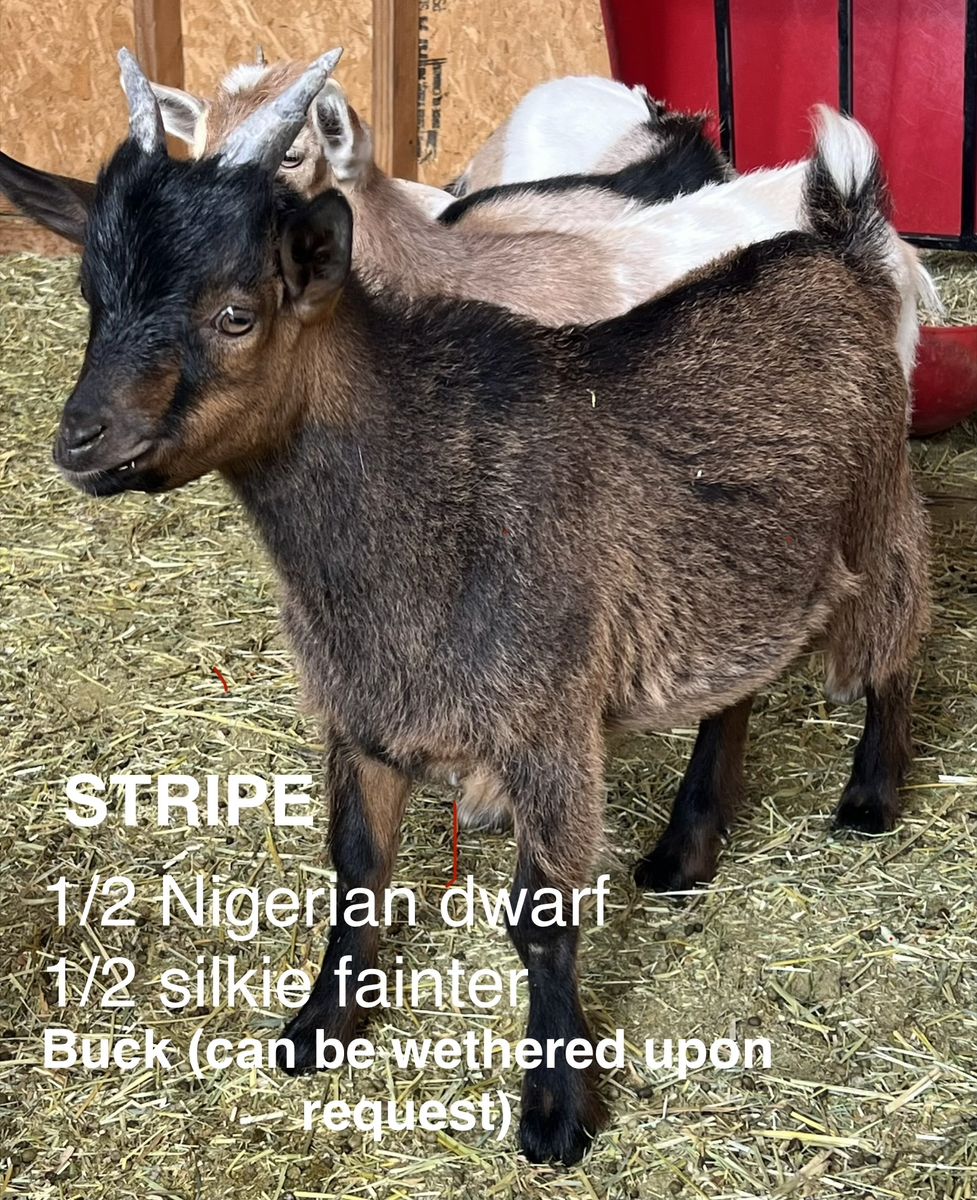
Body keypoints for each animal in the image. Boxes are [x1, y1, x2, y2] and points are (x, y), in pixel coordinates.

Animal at [32, 50, 929, 1165]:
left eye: (236, 313)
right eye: (93, 296)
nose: (82, 438)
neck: (418, 484)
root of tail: (839, 244)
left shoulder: (547, 719)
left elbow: (540, 919)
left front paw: (554, 1108)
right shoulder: (362, 709)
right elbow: (356, 867)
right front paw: (322, 1024)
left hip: (878, 511)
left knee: (899, 638)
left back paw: (871, 796)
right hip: (739, 575)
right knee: (737, 685)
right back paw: (684, 849)